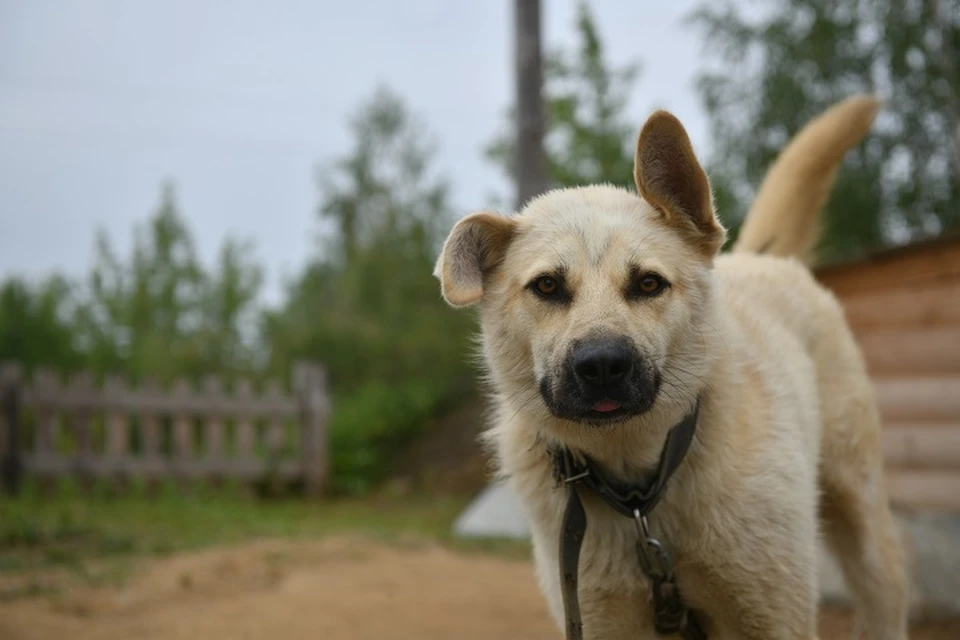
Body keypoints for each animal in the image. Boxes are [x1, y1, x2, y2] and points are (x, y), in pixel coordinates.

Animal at [436, 96, 908, 640]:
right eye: (547, 286)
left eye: (648, 283)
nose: (602, 365)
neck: (641, 497)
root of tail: (762, 259)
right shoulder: (602, 620)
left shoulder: (773, 616)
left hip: (865, 528)